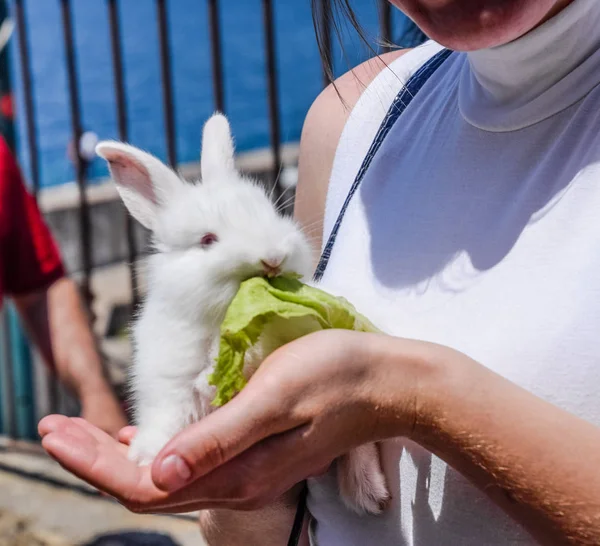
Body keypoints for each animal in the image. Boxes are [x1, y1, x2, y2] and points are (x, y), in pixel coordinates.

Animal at [95, 112, 390, 512]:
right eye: (207, 240)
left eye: (272, 214)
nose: (273, 258)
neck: (227, 320)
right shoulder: (170, 384)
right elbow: (169, 416)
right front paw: (146, 457)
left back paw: (370, 495)